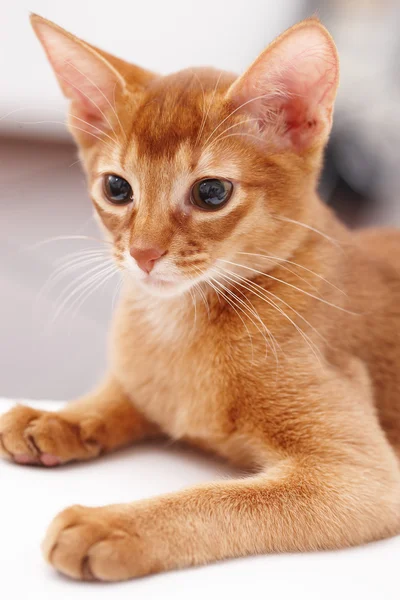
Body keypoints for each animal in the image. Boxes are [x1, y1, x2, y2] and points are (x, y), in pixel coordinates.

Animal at [0, 14, 400, 584]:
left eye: (212, 193)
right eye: (116, 188)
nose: (143, 254)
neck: (177, 330)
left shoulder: (358, 476)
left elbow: (224, 502)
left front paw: (115, 526)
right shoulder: (149, 383)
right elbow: (125, 394)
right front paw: (57, 420)